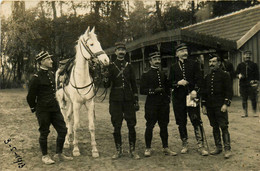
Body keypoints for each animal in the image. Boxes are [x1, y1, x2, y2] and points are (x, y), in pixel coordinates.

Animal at [55, 26, 109, 157]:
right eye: (91, 44)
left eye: (99, 43)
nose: (106, 60)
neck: (81, 78)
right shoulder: (77, 104)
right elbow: (76, 126)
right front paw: (76, 149)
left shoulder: (89, 103)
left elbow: (91, 126)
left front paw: (94, 150)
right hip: (63, 103)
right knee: (66, 119)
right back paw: (66, 142)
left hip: (70, 102)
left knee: (69, 118)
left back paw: (69, 139)